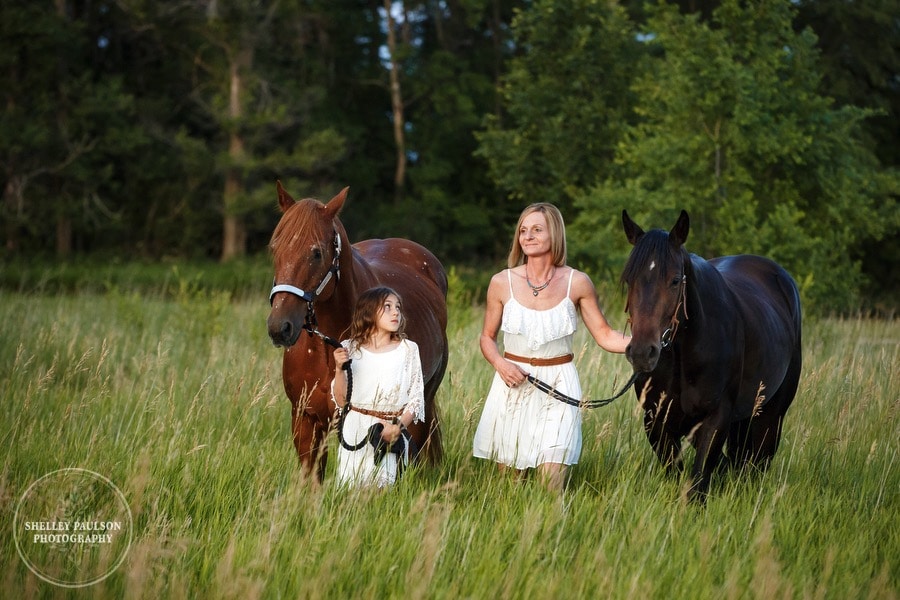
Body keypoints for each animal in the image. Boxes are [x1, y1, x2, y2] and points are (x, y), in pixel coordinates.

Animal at [620, 211, 800, 502]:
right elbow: (679, 473)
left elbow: (698, 484)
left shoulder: (716, 418)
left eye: (675, 280)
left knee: (757, 464)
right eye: (629, 280)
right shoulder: (657, 421)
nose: (642, 353)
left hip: (771, 414)